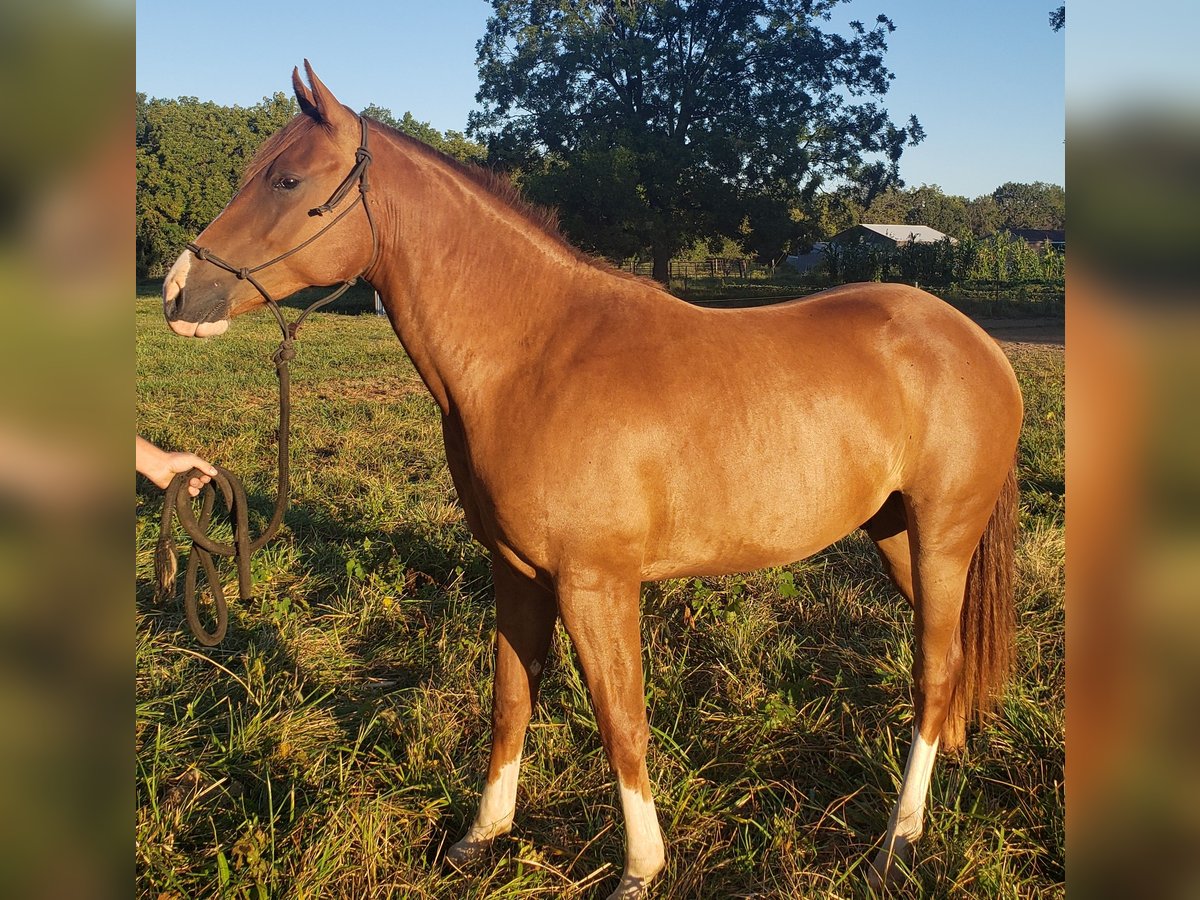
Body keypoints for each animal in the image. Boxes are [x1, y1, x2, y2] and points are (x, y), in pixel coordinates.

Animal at [162, 61, 1022, 897]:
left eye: (288, 181)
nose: (177, 292)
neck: (533, 356)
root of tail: (976, 343)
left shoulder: (595, 583)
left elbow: (621, 720)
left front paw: (641, 867)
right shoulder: (517, 574)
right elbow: (511, 703)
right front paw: (482, 836)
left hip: (941, 541)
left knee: (931, 674)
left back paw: (896, 844)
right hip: (898, 539)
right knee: (948, 672)